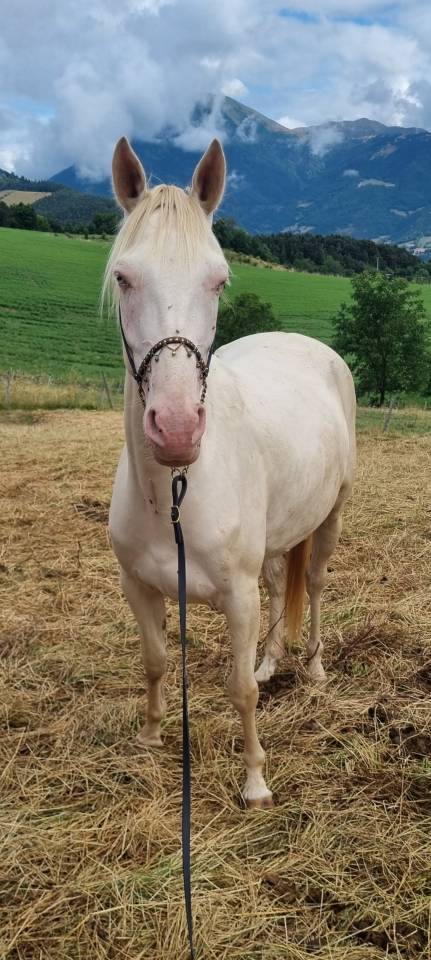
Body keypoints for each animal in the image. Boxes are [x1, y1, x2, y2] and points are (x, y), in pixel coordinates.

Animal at [106, 136, 356, 808]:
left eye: (219, 280)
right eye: (124, 276)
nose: (176, 430)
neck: (172, 496)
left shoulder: (236, 600)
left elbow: (239, 691)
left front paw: (255, 782)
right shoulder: (139, 588)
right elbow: (156, 661)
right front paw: (150, 737)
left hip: (332, 514)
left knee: (313, 584)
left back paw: (313, 666)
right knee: (277, 585)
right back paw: (272, 661)